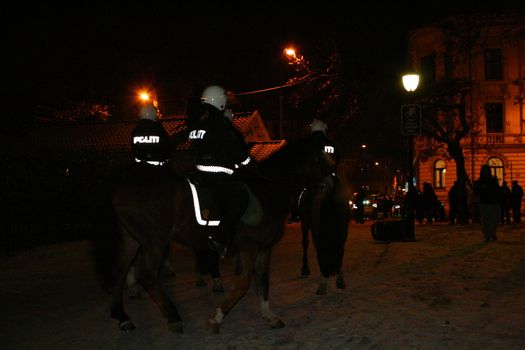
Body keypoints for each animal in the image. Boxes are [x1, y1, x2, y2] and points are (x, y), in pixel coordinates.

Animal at [109, 137, 324, 334]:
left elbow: (263, 281)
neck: (268, 189)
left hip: (132, 239)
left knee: (120, 272)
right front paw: (217, 318)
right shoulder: (249, 248)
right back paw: (173, 317)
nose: (328, 180)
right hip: (155, 242)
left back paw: (123, 318)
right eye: (320, 156)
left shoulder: (264, 248)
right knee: (147, 275)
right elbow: (244, 284)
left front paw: (269, 316)